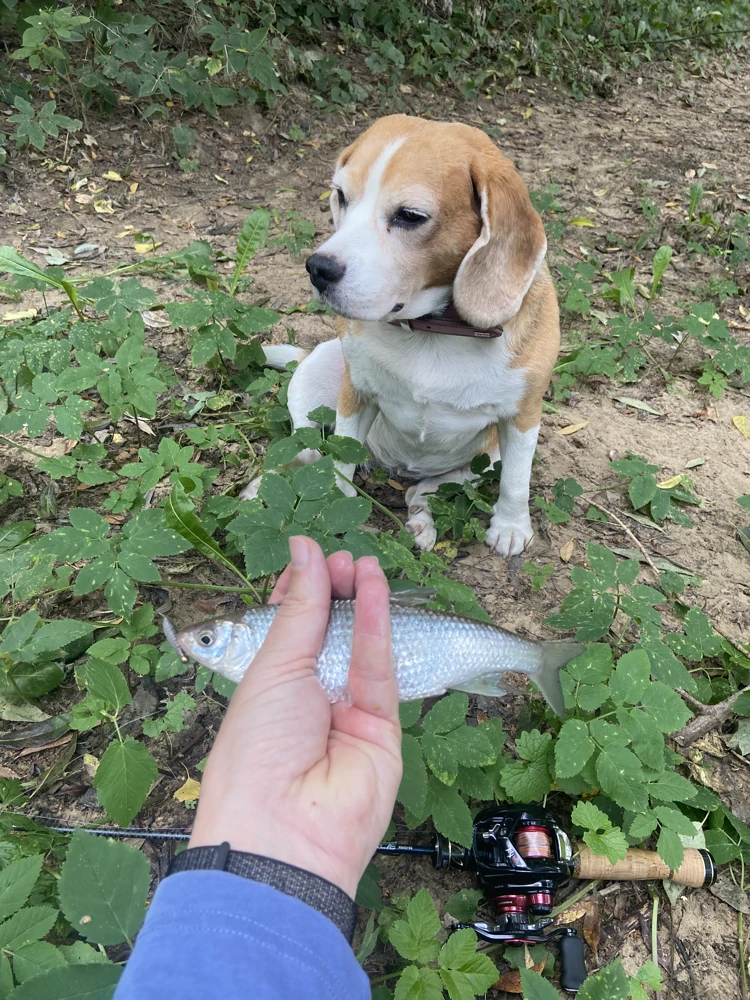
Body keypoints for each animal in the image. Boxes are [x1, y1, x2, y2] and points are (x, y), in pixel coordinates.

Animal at [250, 117, 560, 560]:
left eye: (411, 216)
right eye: (340, 196)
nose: (318, 269)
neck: (433, 331)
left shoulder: (523, 418)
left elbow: (517, 480)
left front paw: (512, 526)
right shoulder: (356, 394)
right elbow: (338, 465)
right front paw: (335, 506)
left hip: (486, 457)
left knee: (424, 490)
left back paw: (421, 520)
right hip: (320, 371)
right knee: (305, 448)